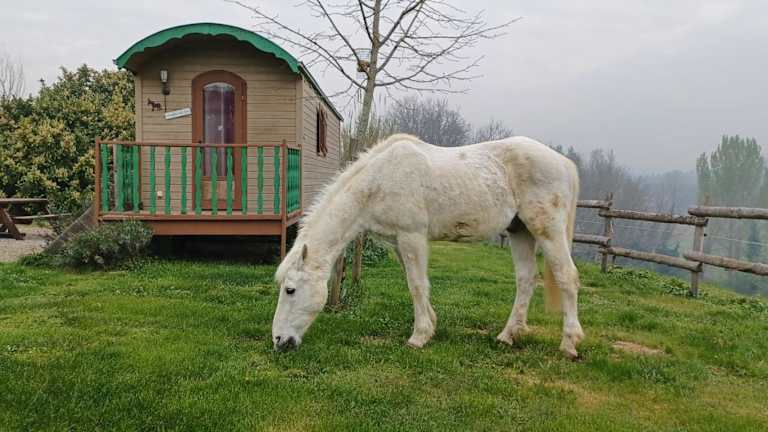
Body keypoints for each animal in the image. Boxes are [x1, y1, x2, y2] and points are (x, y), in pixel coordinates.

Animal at [272, 134, 584, 358]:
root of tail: (563, 162)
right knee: (526, 280)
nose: (278, 340)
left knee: (567, 277)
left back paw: (569, 344)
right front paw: (430, 326)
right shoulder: (399, 242)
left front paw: (418, 337)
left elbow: (417, 285)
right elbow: (415, 284)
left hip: (547, 230)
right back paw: (507, 336)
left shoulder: (412, 237)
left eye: (290, 290)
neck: (379, 179)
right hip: (520, 232)